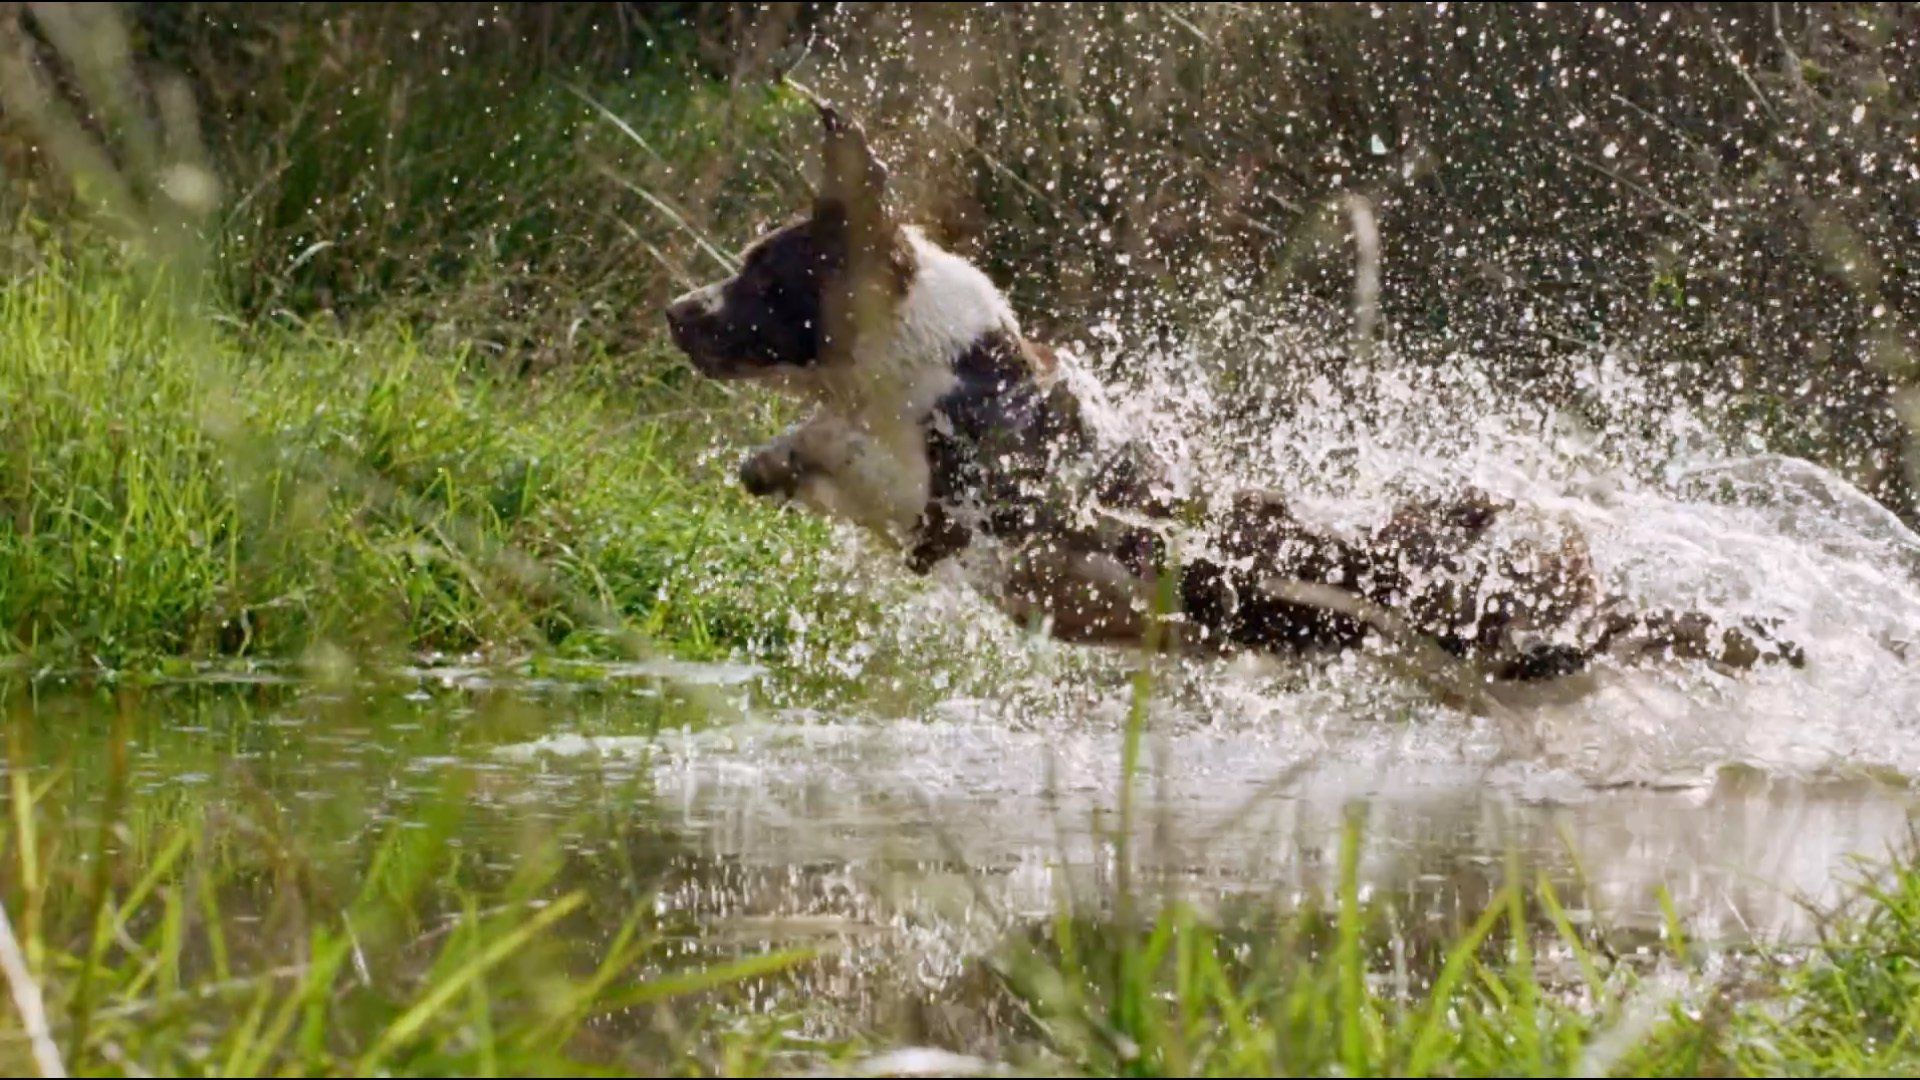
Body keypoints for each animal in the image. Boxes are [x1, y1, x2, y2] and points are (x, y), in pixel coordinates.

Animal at [664, 102, 1797, 680]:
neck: (951, 370)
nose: (675, 310)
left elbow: (852, 452)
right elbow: (819, 437)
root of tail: (1589, 597)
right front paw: (769, 460)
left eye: (762, 275)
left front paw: (795, 452)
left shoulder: (959, 513)